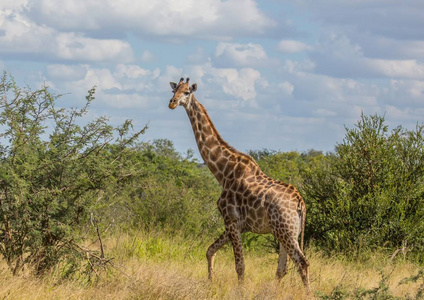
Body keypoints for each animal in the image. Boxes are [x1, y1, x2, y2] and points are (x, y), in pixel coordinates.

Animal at [169, 78, 312, 292]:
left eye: (187, 92)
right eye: (174, 90)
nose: (172, 102)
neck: (223, 172)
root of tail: (300, 202)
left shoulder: (232, 221)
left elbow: (240, 265)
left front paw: (240, 290)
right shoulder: (237, 225)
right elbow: (210, 250)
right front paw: (210, 282)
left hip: (285, 231)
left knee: (302, 263)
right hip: (287, 232)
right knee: (283, 268)